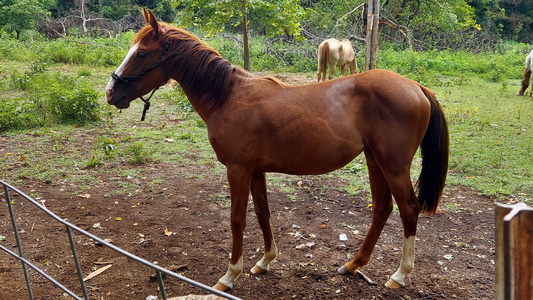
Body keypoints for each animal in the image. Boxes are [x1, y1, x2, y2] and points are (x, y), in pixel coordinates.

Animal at [105, 8, 448, 292]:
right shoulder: (256, 171)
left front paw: (230, 275)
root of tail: (417, 87)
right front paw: (264, 261)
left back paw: (399, 275)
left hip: (393, 166)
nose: (111, 92)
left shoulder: (238, 170)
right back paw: (353, 265)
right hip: (374, 160)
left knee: (408, 210)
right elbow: (262, 213)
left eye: (142, 53)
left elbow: (237, 219)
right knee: (381, 209)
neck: (227, 96)